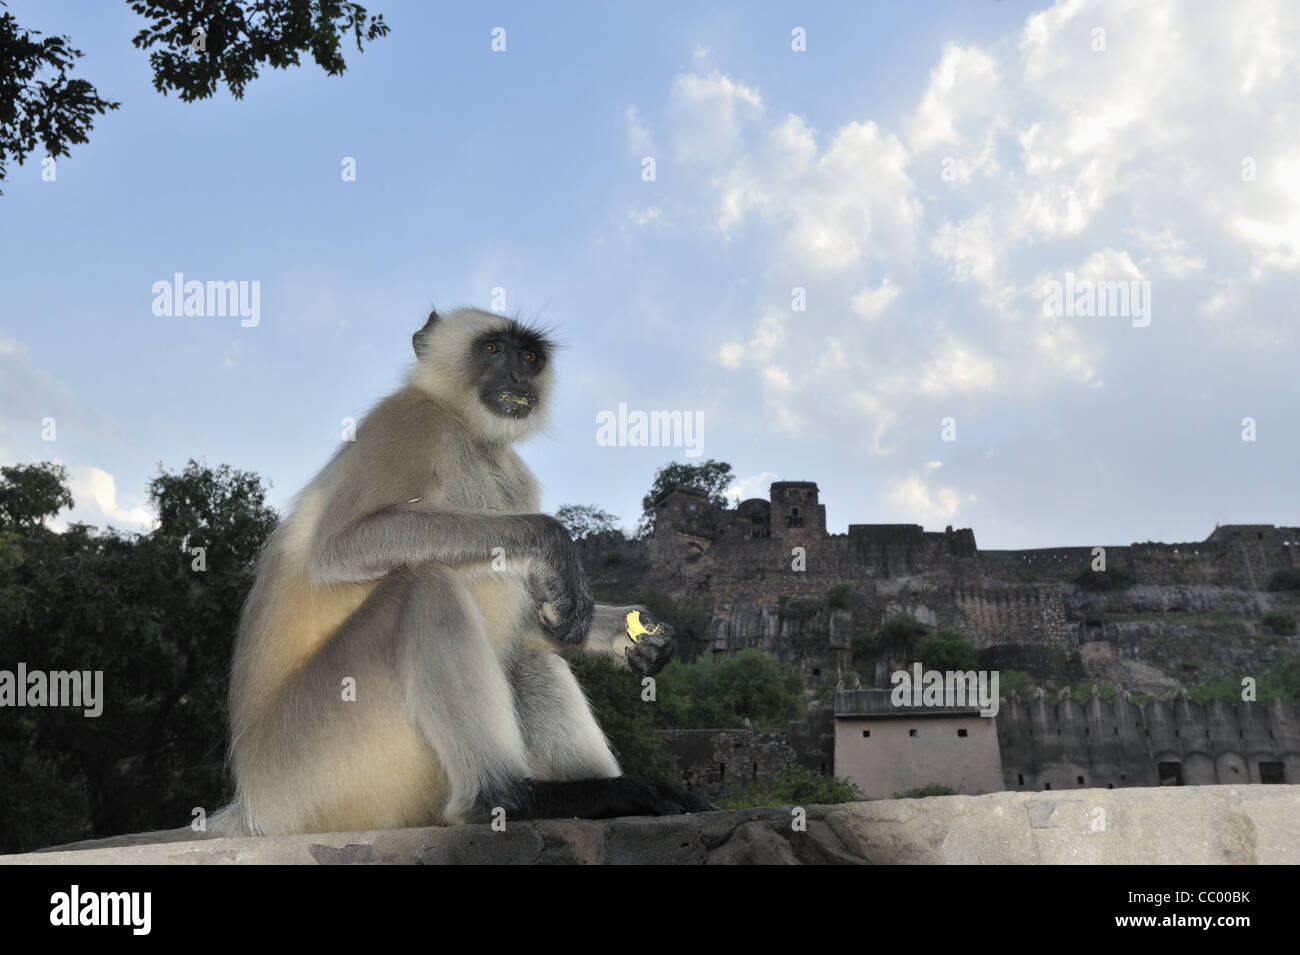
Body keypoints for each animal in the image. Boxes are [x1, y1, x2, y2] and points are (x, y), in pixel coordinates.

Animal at [216, 306, 712, 836]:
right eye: (493, 349)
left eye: (529, 357)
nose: (517, 377)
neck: (469, 432)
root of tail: (251, 806)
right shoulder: (404, 422)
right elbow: (340, 548)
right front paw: (553, 541)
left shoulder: (515, 476)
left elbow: (541, 620)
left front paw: (638, 635)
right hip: (312, 769)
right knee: (424, 585)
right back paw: (508, 799)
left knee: (522, 652)